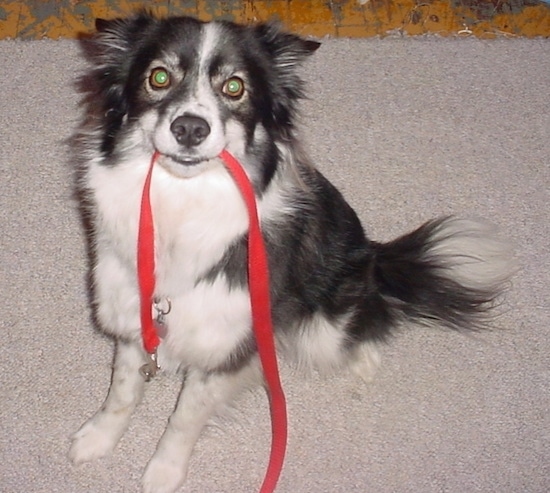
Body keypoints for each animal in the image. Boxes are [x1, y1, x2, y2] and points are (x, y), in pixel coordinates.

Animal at [70, 13, 516, 492]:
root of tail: (374, 257)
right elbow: (122, 390)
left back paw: (361, 363)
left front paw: (163, 472)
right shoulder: (132, 316)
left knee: (369, 321)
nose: (189, 128)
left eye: (235, 87)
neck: (182, 202)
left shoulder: (228, 345)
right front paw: (97, 438)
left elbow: (184, 419)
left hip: (328, 319)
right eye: (158, 77)